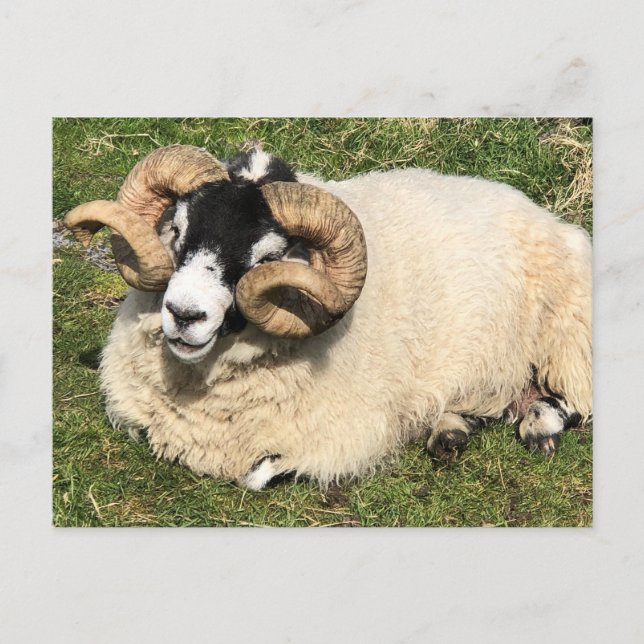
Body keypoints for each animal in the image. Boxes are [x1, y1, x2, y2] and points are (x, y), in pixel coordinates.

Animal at [63, 143, 592, 490]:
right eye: (177, 229)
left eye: (269, 256)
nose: (183, 314)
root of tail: (543, 213)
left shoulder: (345, 438)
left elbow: (256, 474)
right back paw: (450, 430)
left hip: (569, 336)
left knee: (572, 400)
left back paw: (538, 423)